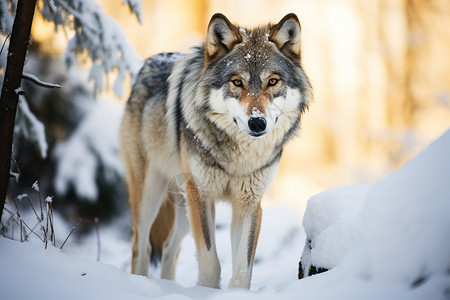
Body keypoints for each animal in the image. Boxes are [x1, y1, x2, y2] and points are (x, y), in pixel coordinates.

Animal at [119, 12, 312, 290]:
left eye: (273, 82)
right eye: (237, 82)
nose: (257, 123)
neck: (238, 158)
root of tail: (147, 64)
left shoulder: (249, 204)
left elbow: (243, 269)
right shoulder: (201, 195)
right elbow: (210, 261)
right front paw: (207, 291)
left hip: (182, 206)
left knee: (168, 249)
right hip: (151, 196)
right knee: (141, 247)